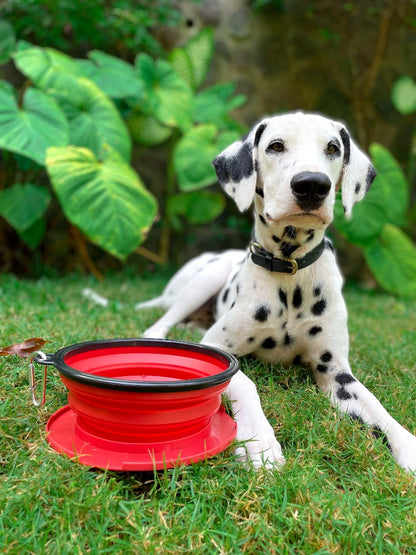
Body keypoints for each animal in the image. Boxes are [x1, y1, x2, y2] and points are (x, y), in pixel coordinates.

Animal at [136, 113, 416, 474]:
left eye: (333, 148)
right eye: (276, 146)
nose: (312, 184)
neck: (289, 274)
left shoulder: (337, 373)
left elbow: (379, 409)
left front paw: (408, 447)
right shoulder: (218, 347)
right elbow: (245, 383)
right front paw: (259, 442)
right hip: (205, 278)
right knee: (158, 325)